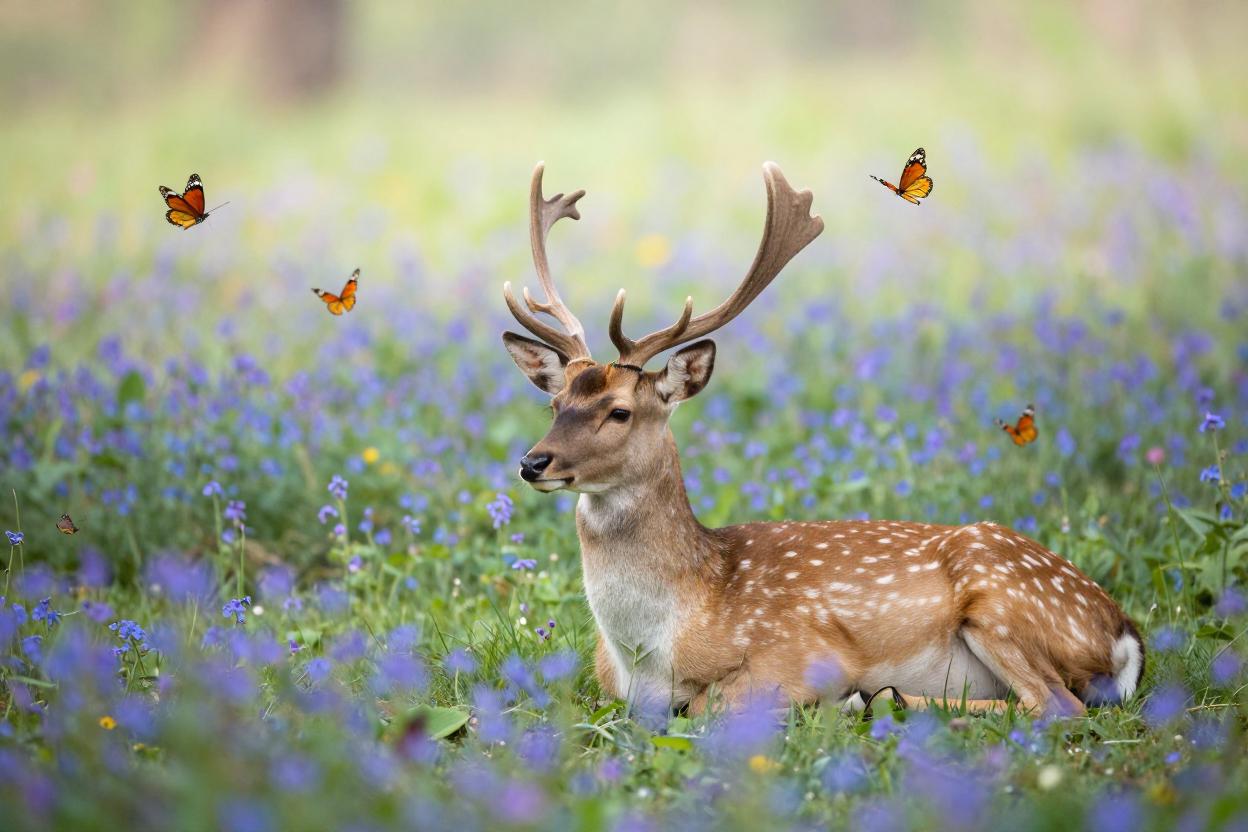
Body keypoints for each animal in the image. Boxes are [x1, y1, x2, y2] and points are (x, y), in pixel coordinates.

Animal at [500, 161, 1144, 717]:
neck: (653, 651)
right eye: (555, 403)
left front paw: (843, 696)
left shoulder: (800, 652)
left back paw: (880, 697)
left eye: (620, 412)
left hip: (1000, 600)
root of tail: (1125, 635)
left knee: (1057, 705)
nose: (534, 462)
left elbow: (713, 705)